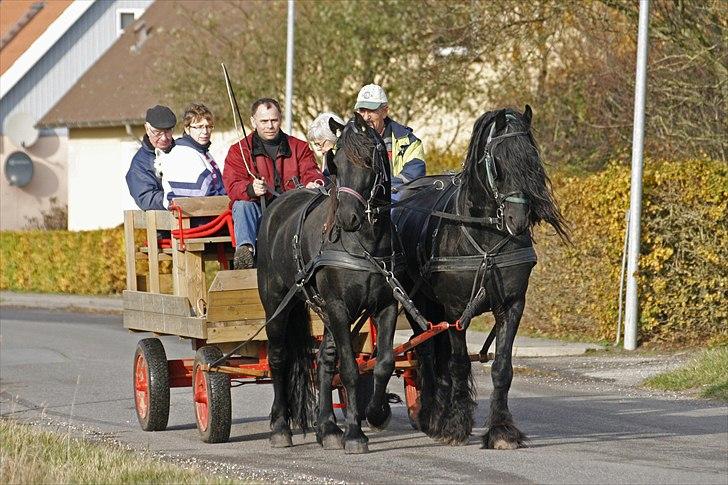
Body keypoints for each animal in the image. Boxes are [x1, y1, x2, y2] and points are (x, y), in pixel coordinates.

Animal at [258, 111, 398, 452]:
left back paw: (328, 428)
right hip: (278, 303)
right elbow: (348, 369)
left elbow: (383, 363)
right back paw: (280, 426)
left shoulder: (386, 305)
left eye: (368, 161)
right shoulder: (337, 306)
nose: (347, 217)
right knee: (278, 358)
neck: (364, 243)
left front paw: (375, 413)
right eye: (337, 164)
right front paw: (355, 434)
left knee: (323, 360)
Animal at [392, 108, 568, 448]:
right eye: (498, 162)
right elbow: (458, 363)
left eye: (531, 157)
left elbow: (502, 369)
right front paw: (455, 425)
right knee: (427, 354)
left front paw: (501, 430)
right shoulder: (455, 312)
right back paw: (432, 415)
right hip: (416, 301)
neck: (485, 237)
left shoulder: (511, 305)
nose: (518, 220)